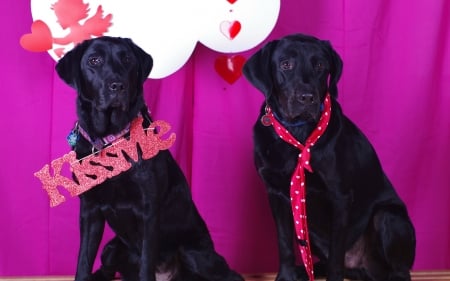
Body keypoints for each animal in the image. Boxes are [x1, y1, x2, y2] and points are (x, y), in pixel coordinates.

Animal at [56, 36, 246, 280]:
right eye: (94, 60)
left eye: (127, 59)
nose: (118, 86)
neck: (111, 139)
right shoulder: (90, 211)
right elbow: (83, 262)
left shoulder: (148, 211)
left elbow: (147, 265)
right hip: (112, 247)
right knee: (106, 268)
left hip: (194, 254)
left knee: (229, 275)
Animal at [244, 34, 416, 280]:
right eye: (285, 64)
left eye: (320, 66)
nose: (307, 98)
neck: (298, 132)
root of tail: (362, 267)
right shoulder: (276, 194)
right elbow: (284, 243)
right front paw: (286, 275)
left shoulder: (340, 197)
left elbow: (336, 252)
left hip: (389, 217)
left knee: (399, 269)